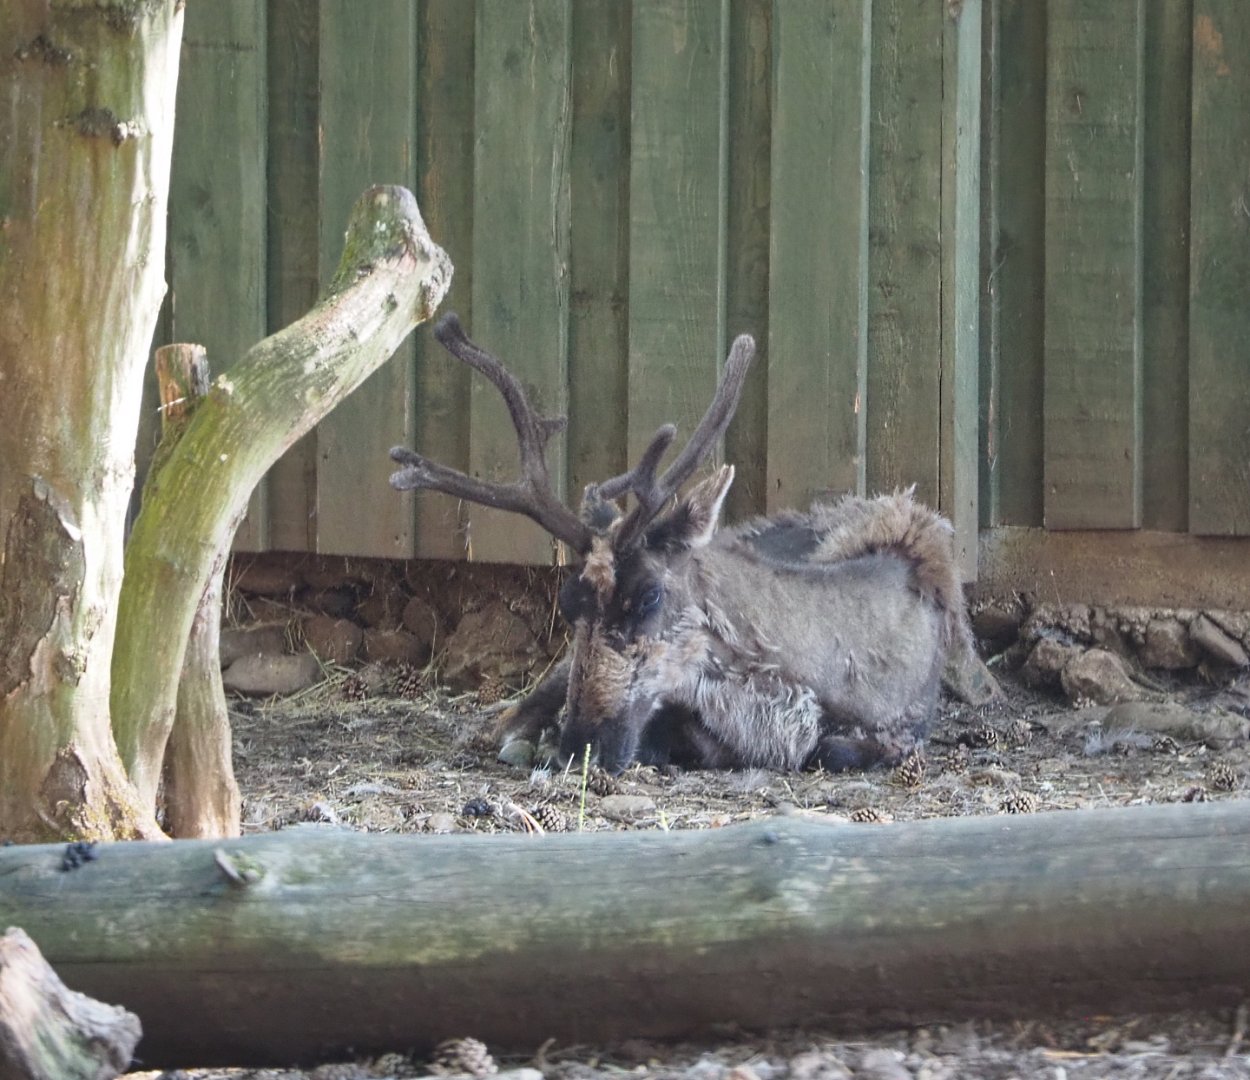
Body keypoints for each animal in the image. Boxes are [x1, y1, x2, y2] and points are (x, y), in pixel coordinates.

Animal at [390, 314, 971, 775]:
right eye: (569, 600)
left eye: (649, 596)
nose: (582, 745)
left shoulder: (903, 728)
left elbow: (831, 749)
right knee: (508, 718)